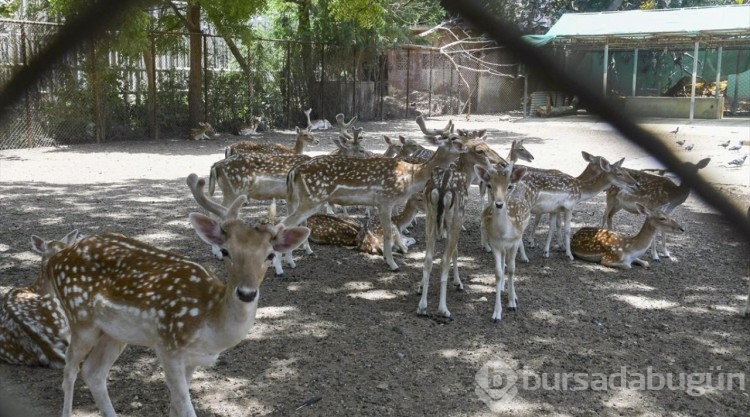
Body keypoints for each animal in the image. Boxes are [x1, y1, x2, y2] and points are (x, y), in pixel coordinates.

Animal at [42, 174, 308, 416]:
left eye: (270, 255)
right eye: (225, 251)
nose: (246, 293)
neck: (211, 324)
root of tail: (55, 259)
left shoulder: (191, 360)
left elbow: (175, 406)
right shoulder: (168, 347)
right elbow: (185, 408)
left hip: (114, 332)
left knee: (93, 372)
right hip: (80, 318)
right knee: (70, 371)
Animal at [280, 117, 468, 272]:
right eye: (453, 138)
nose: (467, 147)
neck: (411, 177)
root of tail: (294, 171)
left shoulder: (381, 203)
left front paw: (388, 259)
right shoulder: (386, 199)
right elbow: (388, 232)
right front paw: (393, 264)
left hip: (296, 199)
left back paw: (289, 261)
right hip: (312, 198)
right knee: (284, 224)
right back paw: (285, 265)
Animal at [478, 160, 532, 322]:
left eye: (509, 186)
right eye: (489, 185)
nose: (499, 204)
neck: (503, 233)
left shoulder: (513, 242)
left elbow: (512, 270)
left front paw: (512, 302)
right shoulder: (495, 244)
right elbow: (498, 272)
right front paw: (496, 313)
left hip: (521, 233)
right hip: (502, 247)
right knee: (503, 262)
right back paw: (502, 288)